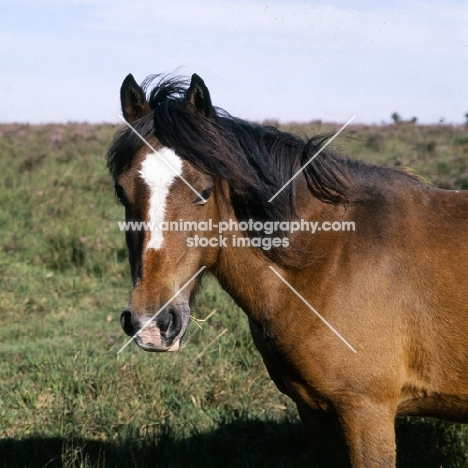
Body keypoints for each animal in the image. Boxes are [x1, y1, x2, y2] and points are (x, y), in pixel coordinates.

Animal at [108, 71, 468, 466]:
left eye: (204, 191)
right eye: (121, 193)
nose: (151, 324)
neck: (327, 261)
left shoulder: (367, 413)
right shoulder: (315, 412)